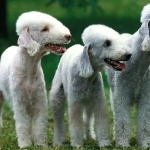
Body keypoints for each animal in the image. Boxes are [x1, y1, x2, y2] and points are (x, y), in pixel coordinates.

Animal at [0, 11, 71, 148]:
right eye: (44, 29)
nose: (68, 36)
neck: (29, 69)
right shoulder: (20, 103)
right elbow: (23, 125)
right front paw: (25, 145)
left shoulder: (39, 101)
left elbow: (40, 125)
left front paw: (41, 144)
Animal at [106, 4, 150, 148]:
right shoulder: (121, 95)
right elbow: (122, 122)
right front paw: (122, 144)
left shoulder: (146, 97)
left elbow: (144, 122)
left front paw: (145, 144)